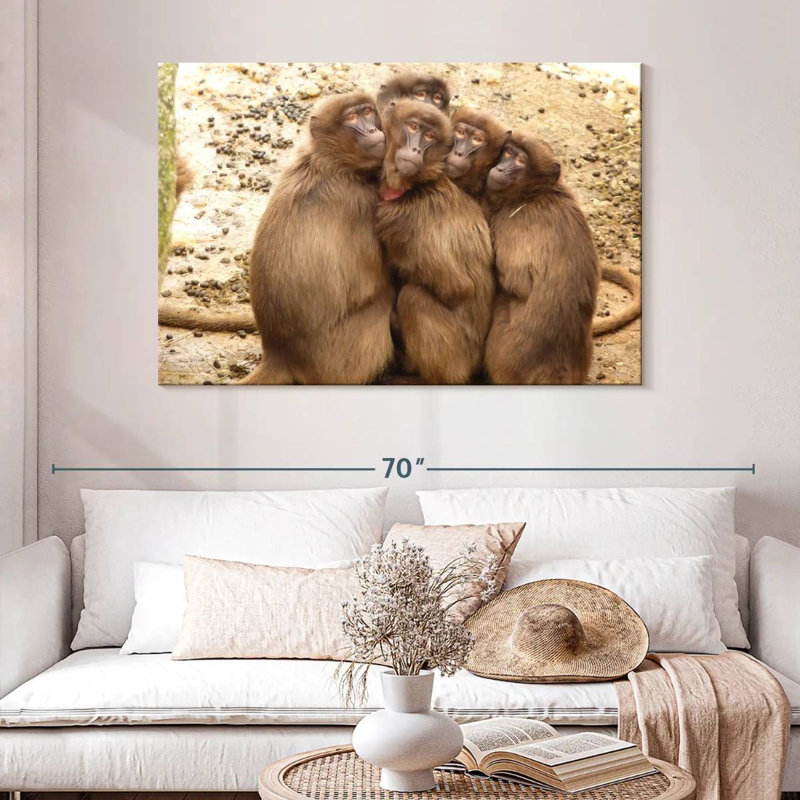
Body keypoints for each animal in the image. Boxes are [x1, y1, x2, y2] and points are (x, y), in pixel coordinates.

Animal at [236, 91, 394, 384]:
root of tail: (280, 353)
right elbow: (374, 282)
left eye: (367, 112)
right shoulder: (362, 202)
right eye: (352, 118)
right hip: (340, 359)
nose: (372, 130)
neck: (330, 163)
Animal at [376, 99, 494, 384]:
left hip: (456, 360)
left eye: (429, 136)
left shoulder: (406, 220)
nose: (415, 148)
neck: (416, 186)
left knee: (413, 298)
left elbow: (457, 288)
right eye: (413, 127)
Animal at [482, 133, 601, 385]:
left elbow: (515, 282)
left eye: (520, 161)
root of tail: (554, 369)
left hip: (506, 356)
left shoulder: (514, 221)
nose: (501, 168)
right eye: (508, 152)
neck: (535, 194)